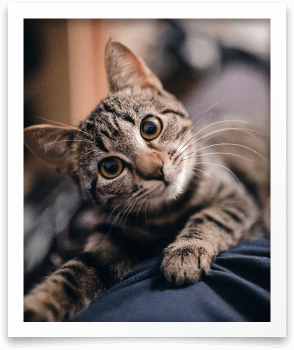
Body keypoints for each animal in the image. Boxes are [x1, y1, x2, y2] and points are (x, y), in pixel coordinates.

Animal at [24, 39, 270, 322]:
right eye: (110, 167)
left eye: (150, 127)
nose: (155, 171)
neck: (167, 212)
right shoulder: (108, 242)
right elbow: (69, 276)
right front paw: (37, 306)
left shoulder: (237, 197)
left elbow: (211, 216)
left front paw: (185, 251)